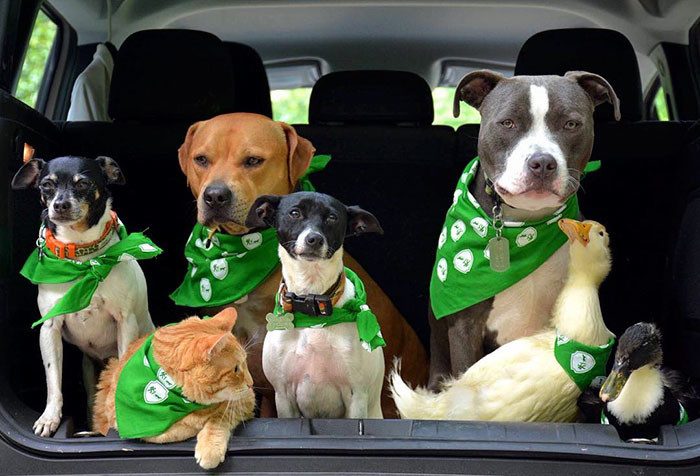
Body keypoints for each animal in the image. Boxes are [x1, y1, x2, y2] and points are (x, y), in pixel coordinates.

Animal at [12, 156, 156, 436]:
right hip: (89, 371)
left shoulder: (125, 323)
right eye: (46, 185)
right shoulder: (50, 329)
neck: (82, 258)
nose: (60, 205)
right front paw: (49, 418)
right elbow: (53, 380)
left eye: (83, 184)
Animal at [93, 308, 255, 469]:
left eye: (245, 362)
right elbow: (174, 431)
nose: (251, 383)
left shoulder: (246, 399)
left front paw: (210, 447)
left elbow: (218, 419)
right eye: (235, 369)